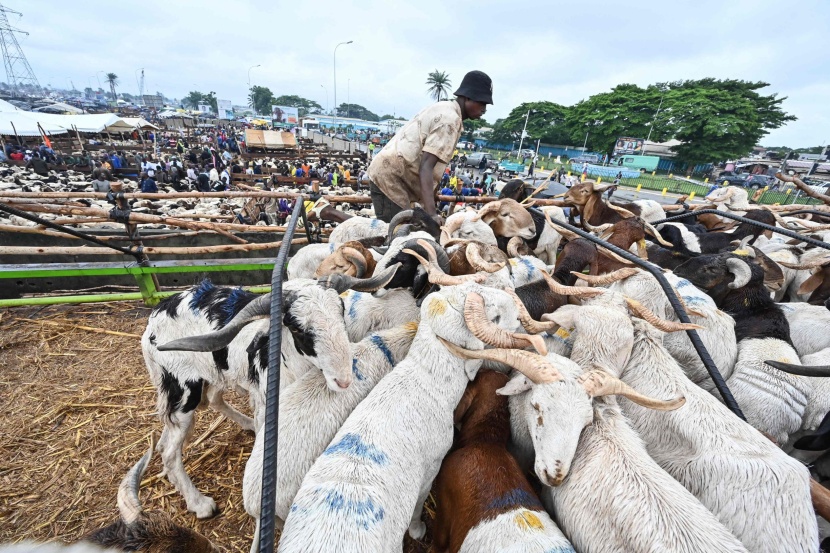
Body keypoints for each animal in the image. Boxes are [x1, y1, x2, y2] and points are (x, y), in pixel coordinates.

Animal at [277, 271, 547, 552]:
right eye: (494, 315)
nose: (518, 308)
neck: (426, 378)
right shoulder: (432, 467)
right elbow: (419, 505)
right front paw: (418, 530)